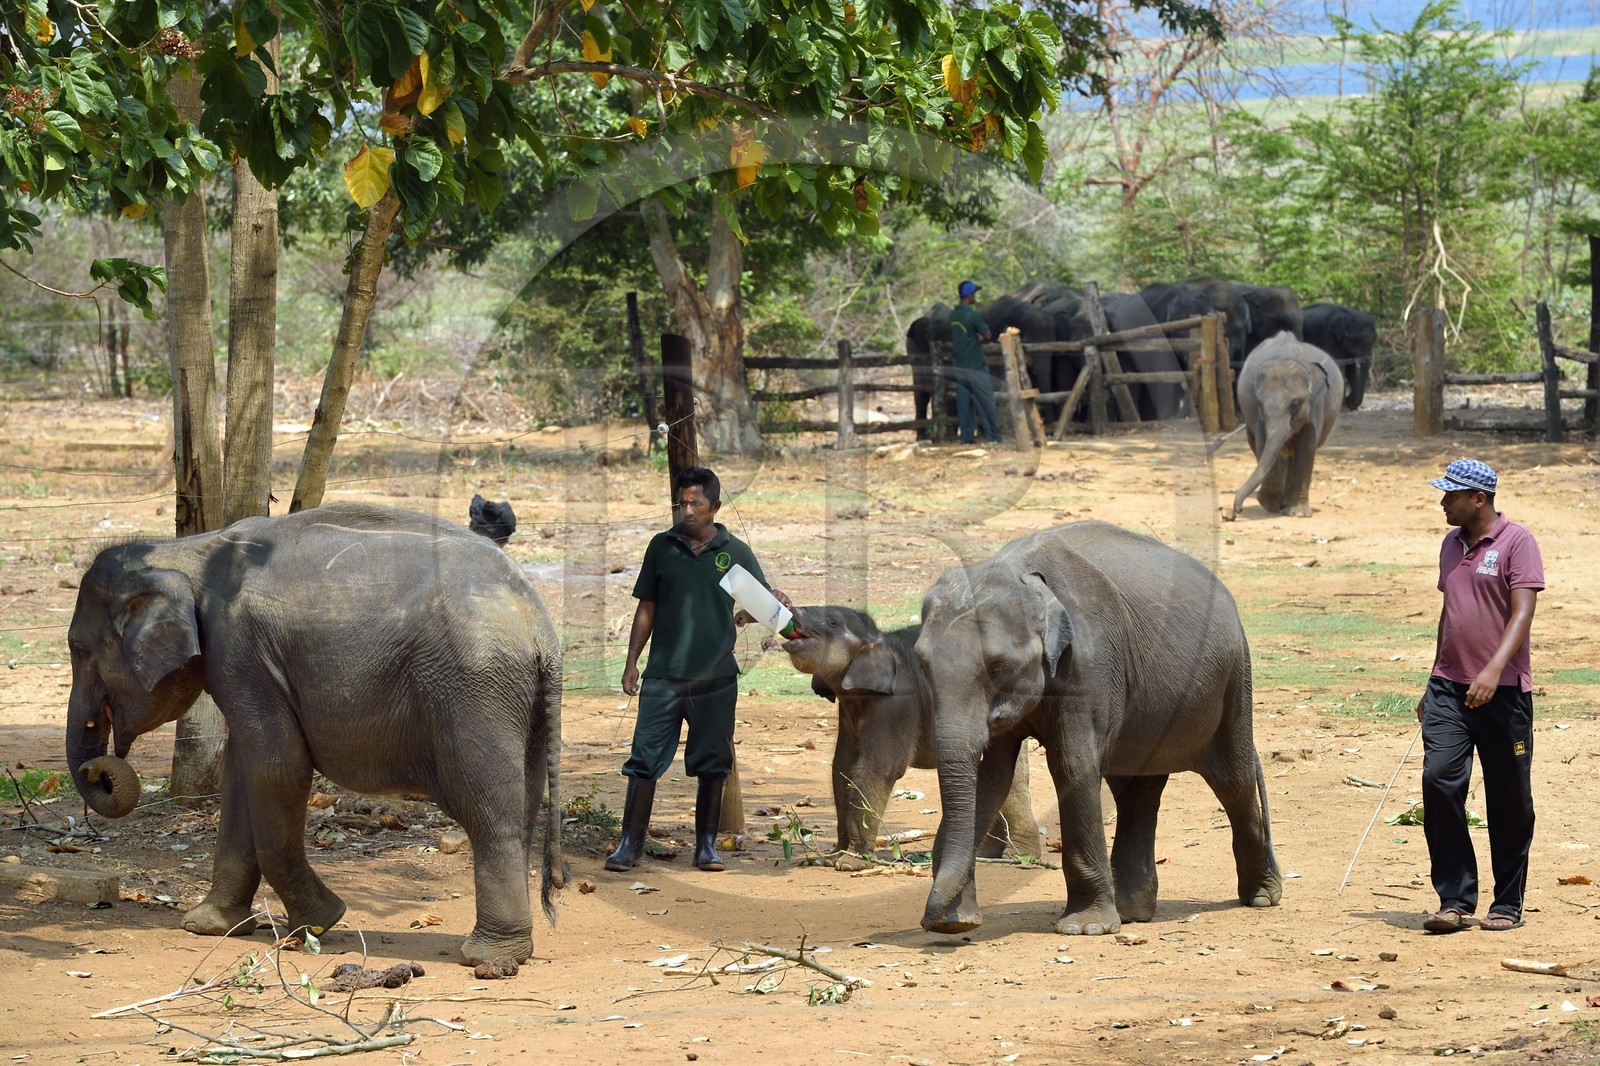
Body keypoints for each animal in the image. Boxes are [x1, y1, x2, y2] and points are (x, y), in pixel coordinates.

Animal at [64, 503, 566, 966]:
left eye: (77, 648)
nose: (96, 769)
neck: (181, 552)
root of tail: (541, 628)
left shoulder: (241, 652)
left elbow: (277, 768)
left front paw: (321, 922)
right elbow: (243, 776)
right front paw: (209, 927)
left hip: (473, 690)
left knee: (487, 810)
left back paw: (488, 958)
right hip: (518, 701)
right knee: (522, 806)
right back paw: (511, 950)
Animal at [780, 605, 1041, 870]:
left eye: (832, 622)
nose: (791, 611)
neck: (881, 641)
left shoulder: (899, 703)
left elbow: (878, 768)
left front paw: (851, 862)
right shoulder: (848, 713)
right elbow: (841, 768)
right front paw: (834, 856)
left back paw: (1018, 857)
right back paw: (988, 854)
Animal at [913, 521, 1281, 937]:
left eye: (997, 667)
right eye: (922, 664)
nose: (936, 921)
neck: (1022, 572)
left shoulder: (1092, 664)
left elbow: (1073, 764)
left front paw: (1085, 928)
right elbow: (991, 777)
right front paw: (958, 921)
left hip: (1235, 679)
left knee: (1233, 779)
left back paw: (1261, 897)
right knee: (1136, 790)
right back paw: (1132, 912)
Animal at [1229, 332, 1343, 519]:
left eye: (1295, 403)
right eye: (1260, 403)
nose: (1237, 510)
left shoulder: (1314, 406)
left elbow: (1306, 447)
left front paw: (1299, 513)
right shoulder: (1259, 416)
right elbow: (1263, 444)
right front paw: (1269, 504)